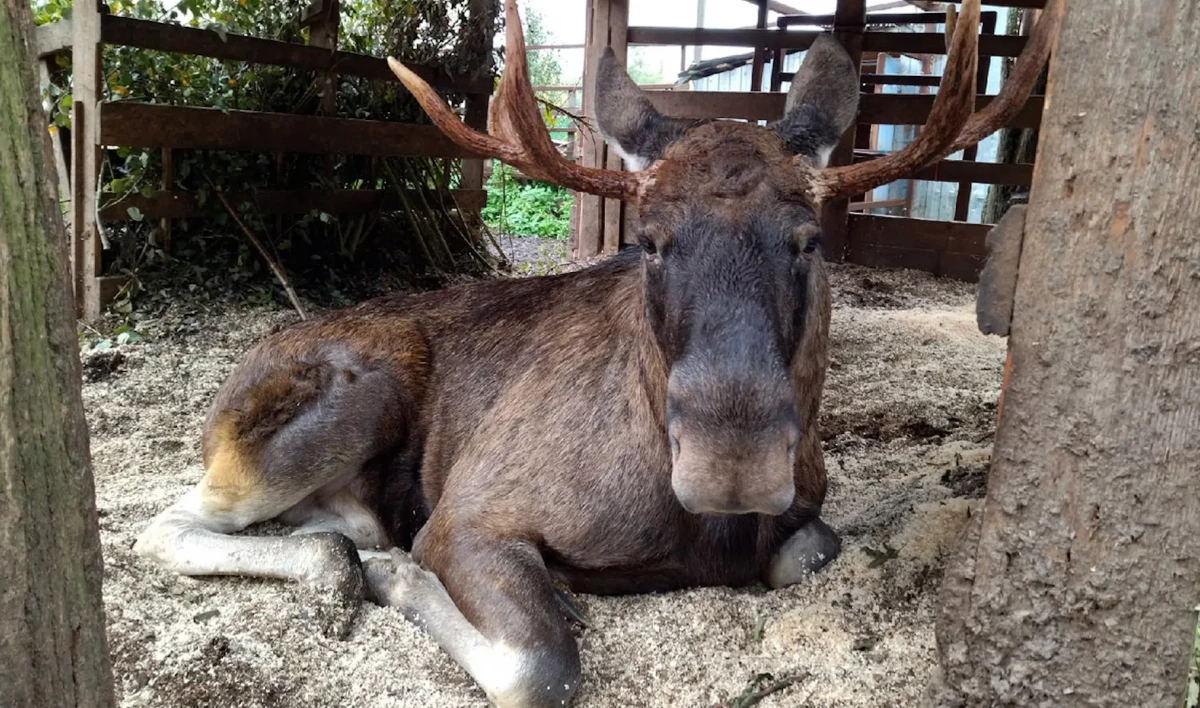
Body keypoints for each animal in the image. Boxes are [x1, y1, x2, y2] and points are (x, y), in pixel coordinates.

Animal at [136, 2, 1060, 705]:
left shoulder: (803, 520)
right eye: (648, 242)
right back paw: (344, 567)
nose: (733, 465)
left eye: (808, 240)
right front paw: (400, 579)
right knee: (165, 523)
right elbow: (538, 666)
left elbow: (812, 549)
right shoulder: (469, 511)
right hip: (346, 400)